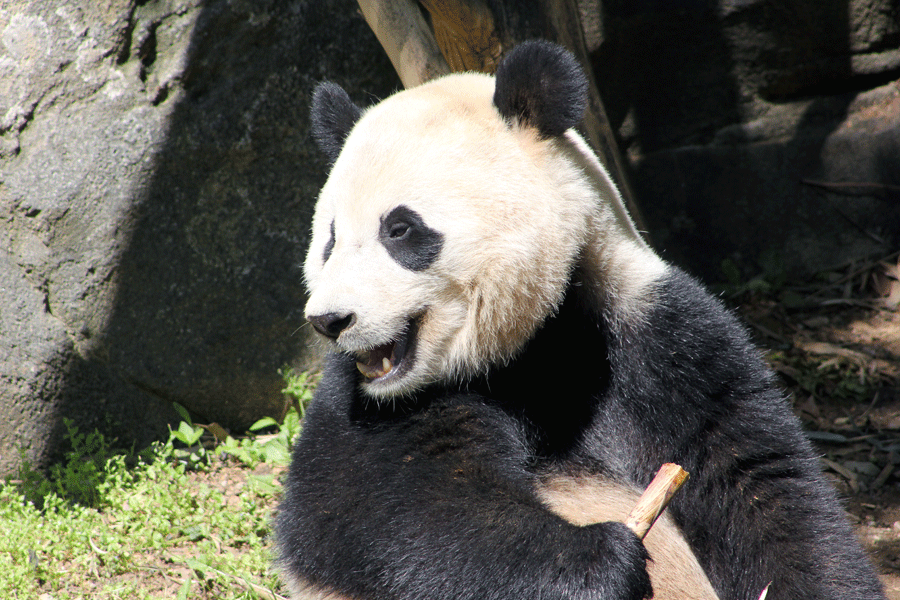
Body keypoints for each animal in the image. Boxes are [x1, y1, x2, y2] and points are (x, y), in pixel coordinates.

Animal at [276, 41, 886, 600]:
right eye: (329, 239)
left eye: (400, 229)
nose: (330, 320)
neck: (536, 338)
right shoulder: (370, 401)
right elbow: (375, 506)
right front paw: (598, 560)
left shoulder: (653, 332)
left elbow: (762, 484)